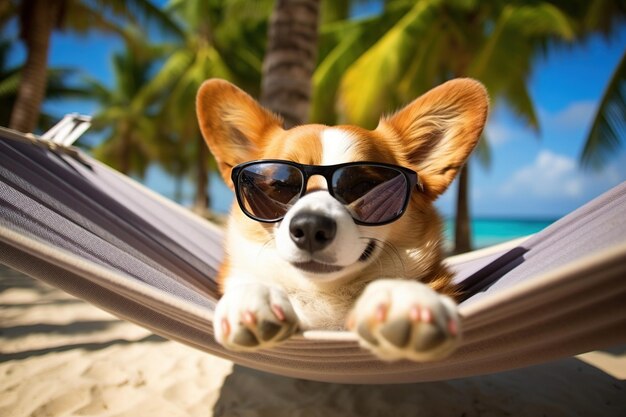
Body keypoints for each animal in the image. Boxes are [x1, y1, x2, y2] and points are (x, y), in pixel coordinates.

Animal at [195, 79, 488, 360]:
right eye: (280, 184)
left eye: (362, 185)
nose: (310, 227)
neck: (324, 294)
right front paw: (253, 296)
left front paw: (404, 297)